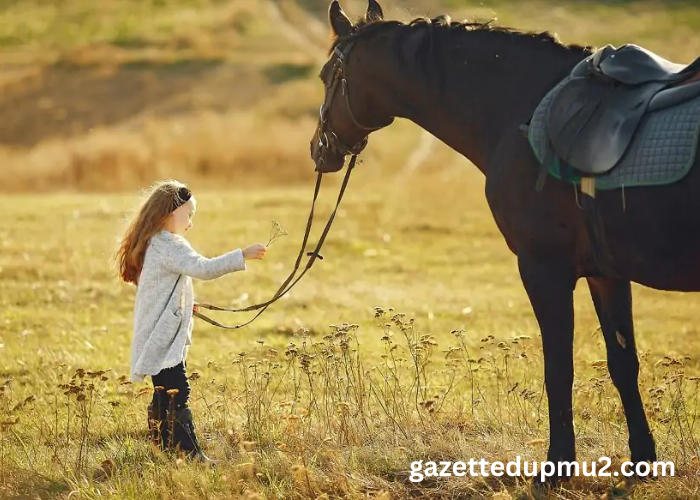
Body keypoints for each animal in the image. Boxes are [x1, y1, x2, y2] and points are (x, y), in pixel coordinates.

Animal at [310, 0, 700, 484]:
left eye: (327, 75)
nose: (318, 149)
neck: (521, 112)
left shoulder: (543, 268)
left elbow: (558, 369)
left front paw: (556, 467)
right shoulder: (606, 275)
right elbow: (623, 363)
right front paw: (642, 460)